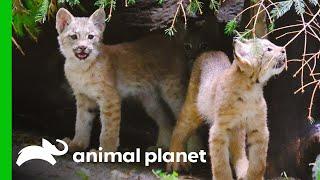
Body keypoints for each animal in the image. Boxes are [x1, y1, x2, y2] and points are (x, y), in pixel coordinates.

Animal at [56, 8, 188, 152]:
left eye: (90, 37)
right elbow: (81, 122)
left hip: (172, 91)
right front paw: (77, 144)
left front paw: (105, 152)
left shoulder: (110, 98)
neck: (81, 67)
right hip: (150, 100)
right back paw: (161, 146)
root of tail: (172, 41)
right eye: (74, 37)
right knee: (166, 120)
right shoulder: (83, 97)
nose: (83, 48)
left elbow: (108, 130)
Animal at [169, 38, 286, 180]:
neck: (251, 89)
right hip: (193, 108)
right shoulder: (219, 129)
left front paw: (253, 176)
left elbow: (258, 162)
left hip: (237, 127)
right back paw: (176, 162)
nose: (284, 50)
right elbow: (220, 163)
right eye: (269, 49)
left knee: (238, 149)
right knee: (179, 129)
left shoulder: (259, 128)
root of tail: (210, 51)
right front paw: (223, 177)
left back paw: (243, 170)